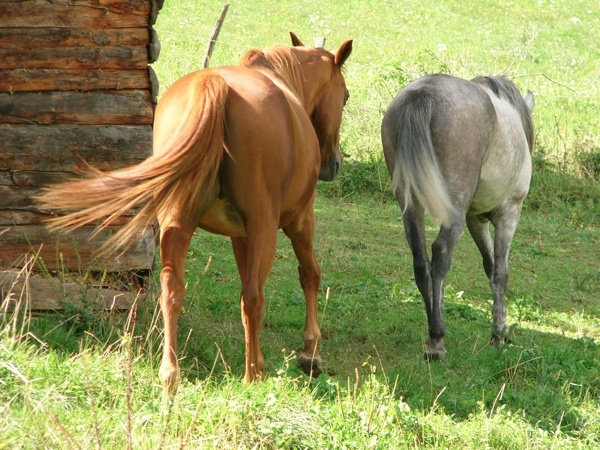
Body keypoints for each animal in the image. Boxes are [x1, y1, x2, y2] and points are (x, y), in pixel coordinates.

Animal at [38, 32, 352, 390]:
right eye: (345, 97)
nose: (334, 164)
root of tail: (214, 84)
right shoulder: (298, 220)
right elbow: (309, 273)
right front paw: (310, 353)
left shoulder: (240, 236)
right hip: (264, 227)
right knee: (253, 297)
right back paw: (251, 376)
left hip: (178, 224)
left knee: (172, 292)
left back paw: (170, 375)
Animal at [382, 74, 532, 358]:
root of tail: (425, 92)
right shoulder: (509, 213)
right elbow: (501, 273)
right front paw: (499, 333)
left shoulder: (475, 219)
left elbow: (489, 266)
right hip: (455, 209)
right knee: (440, 254)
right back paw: (437, 339)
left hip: (411, 206)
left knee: (421, 261)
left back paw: (433, 331)